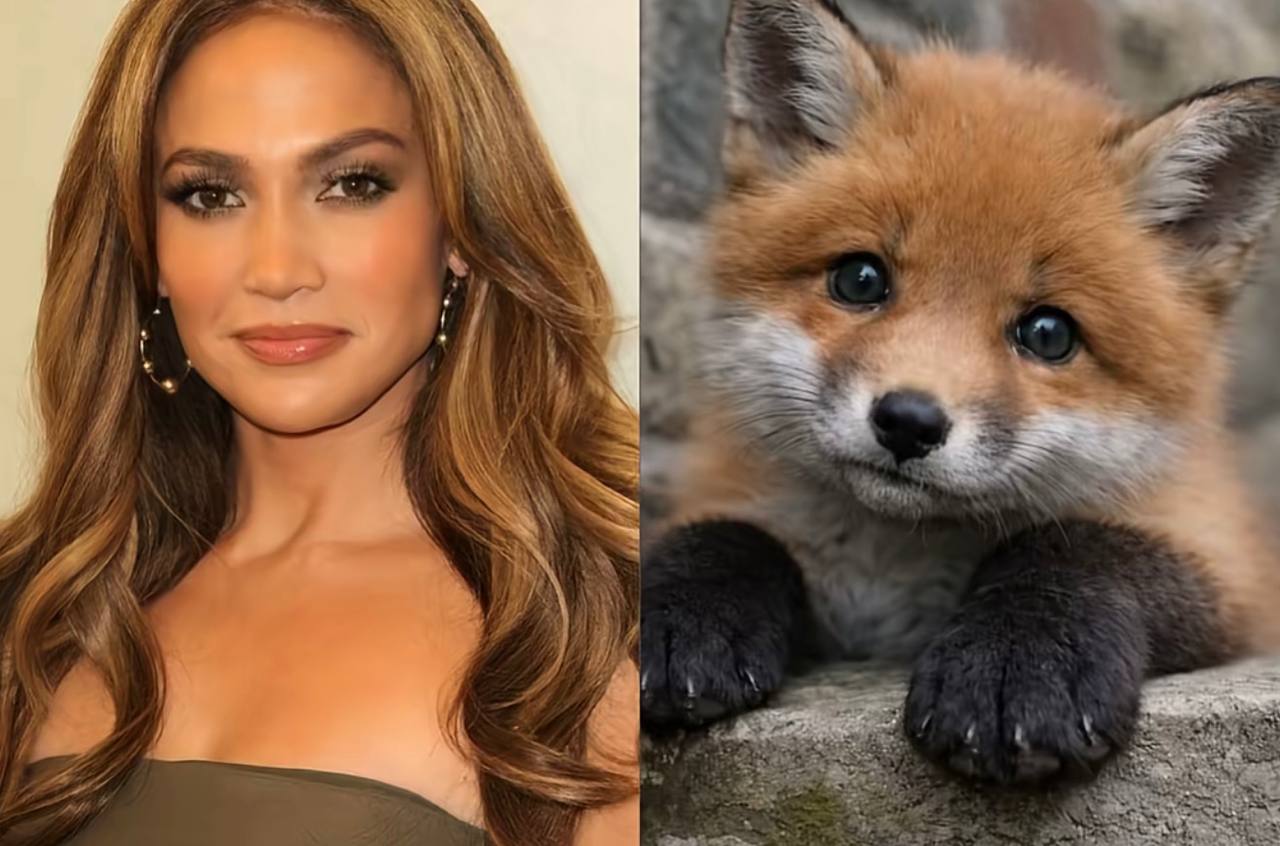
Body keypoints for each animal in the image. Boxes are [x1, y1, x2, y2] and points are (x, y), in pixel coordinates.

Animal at [640, 0, 1280, 785]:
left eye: (1048, 333)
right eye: (860, 279)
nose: (908, 422)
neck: (890, 571)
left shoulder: (1229, 564)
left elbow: (1080, 549)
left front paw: (1018, 663)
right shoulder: (728, 501)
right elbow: (725, 535)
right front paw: (677, 619)